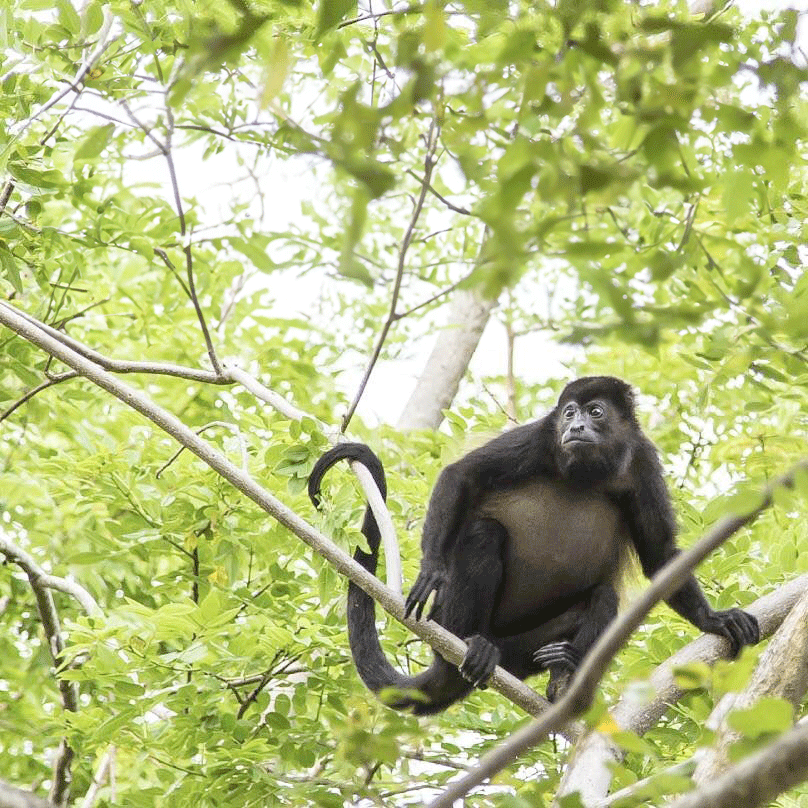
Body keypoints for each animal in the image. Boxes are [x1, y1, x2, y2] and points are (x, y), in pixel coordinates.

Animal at [308, 377, 759, 714]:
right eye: (569, 412)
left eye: (595, 411)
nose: (575, 427)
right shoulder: (541, 435)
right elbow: (461, 475)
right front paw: (432, 568)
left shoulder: (644, 462)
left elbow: (660, 554)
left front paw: (713, 618)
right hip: (451, 617)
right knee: (483, 534)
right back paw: (471, 642)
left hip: (522, 651)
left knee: (604, 596)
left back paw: (563, 674)